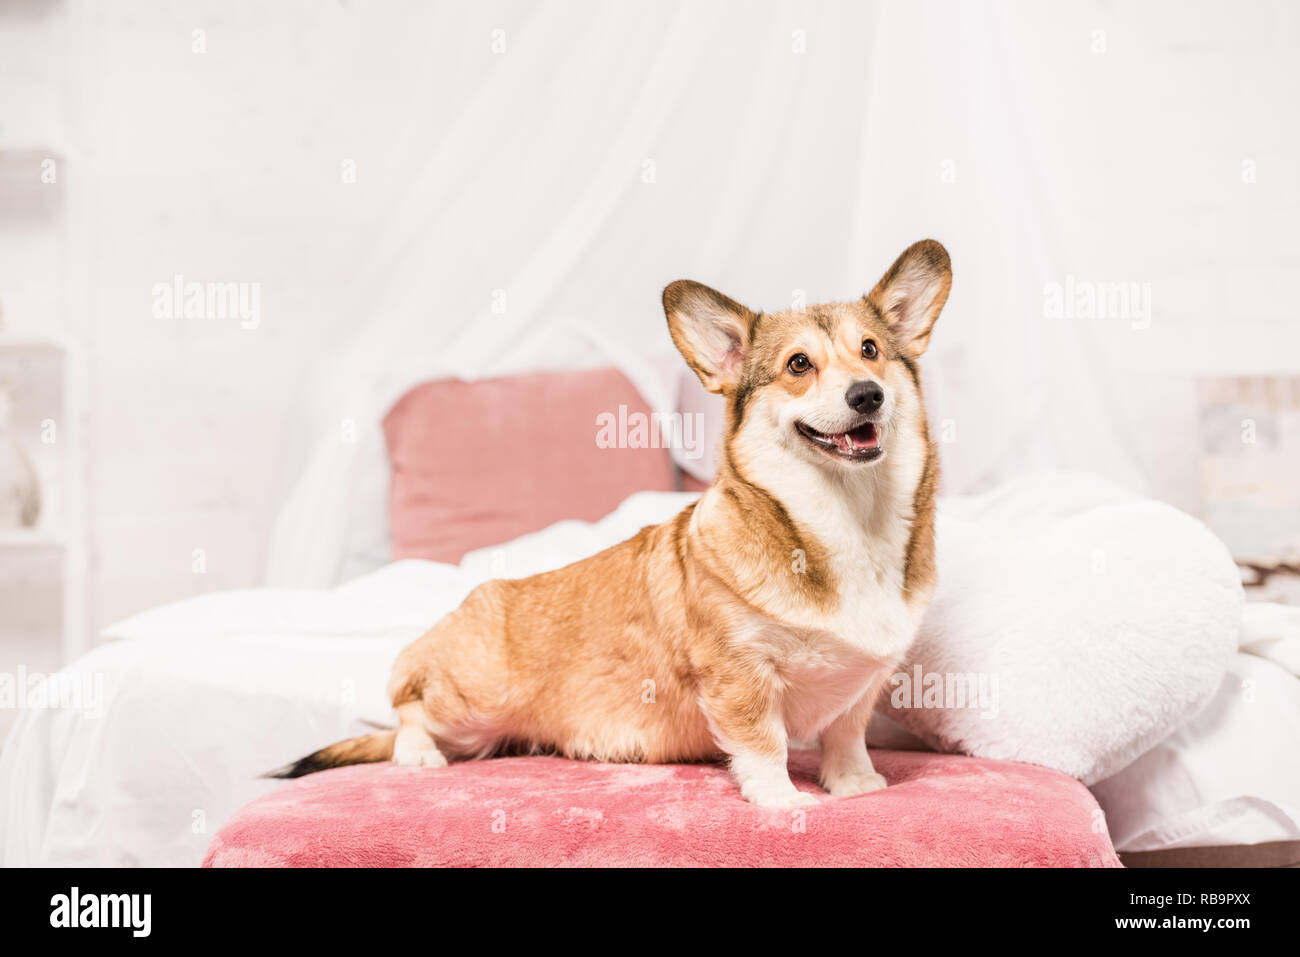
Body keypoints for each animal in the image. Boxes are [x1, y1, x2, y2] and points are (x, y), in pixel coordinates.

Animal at [274, 240, 951, 806]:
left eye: (871, 351)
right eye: (799, 364)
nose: (867, 395)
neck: (848, 520)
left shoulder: (861, 688)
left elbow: (847, 738)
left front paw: (854, 785)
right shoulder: (740, 675)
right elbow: (765, 746)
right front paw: (783, 801)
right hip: (467, 699)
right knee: (407, 709)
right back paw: (416, 754)